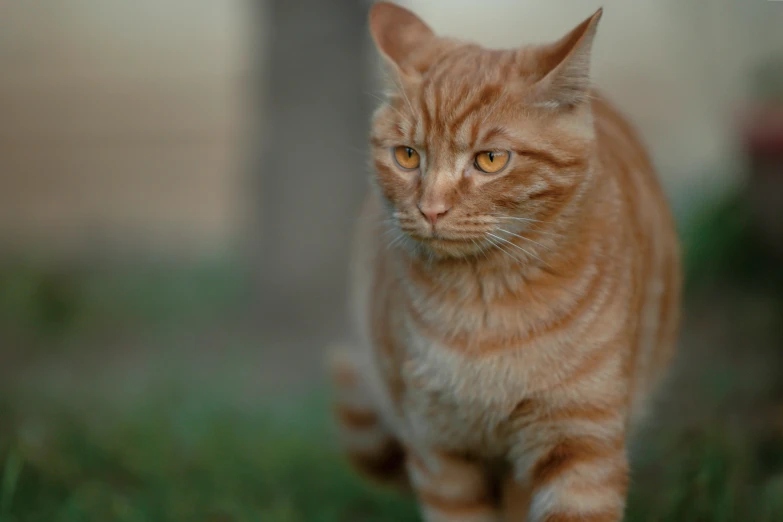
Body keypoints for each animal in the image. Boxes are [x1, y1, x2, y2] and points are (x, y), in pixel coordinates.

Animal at [330, 4, 680, 520]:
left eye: (491, 160)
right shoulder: (440, 452)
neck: (486, 307)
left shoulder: (580, 445)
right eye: (407, 156)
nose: (431, 209)